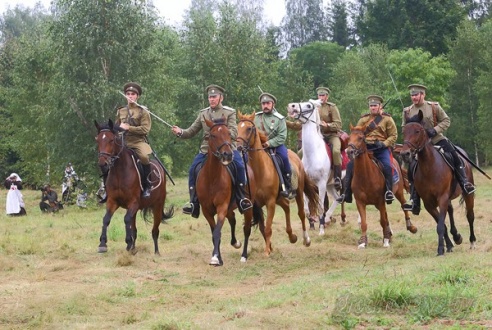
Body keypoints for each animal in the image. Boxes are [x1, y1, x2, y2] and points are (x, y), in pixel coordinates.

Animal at [95, 120, 174, 254]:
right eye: (98, 140)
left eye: (111, 140)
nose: (102, 163)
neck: (120, 173)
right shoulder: (112, 201)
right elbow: (106, 219)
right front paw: (103, 243)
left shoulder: (134, 203)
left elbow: (126, 219)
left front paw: (128, 241)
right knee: (134, 229)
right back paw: (132, 248)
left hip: (157, 206)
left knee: (155, 230)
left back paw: (156, 252)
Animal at [195, 117, 260, 264]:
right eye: (213, 135)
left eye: (229, 133)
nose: (228, 155)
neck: (212, 178)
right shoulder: (206, 210)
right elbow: (214, 233)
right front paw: (218, 257)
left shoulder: (222, 207)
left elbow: (217, 231)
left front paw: (215, 258)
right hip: (230, 207)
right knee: (233, 220)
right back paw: (235, 243)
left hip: (247, 207)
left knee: (246, 229)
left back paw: (244, 255)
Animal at [237, 111, 320, 255]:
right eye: (237, 127)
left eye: (249, 128)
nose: (238, 147)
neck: (260, 171)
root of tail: (296, 156)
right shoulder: (255, 204)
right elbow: (262, 228)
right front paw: (269, 247)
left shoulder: (270, 202)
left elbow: (268, 228)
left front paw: (267, 251)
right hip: (280, 197)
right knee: (286, 206)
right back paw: (292, 236)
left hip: (298, 193)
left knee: (301, 214)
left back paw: (306, 239)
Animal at [286, 99, 348, 236]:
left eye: (309, 105)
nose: (291, 106)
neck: (313, 154)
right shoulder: (307, 183)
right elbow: (306, 207)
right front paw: (312, 220)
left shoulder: (321, 184)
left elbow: (320, 207)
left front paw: (321, 230)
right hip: (330, 185)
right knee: (338, 198)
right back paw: (328, 218)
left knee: (344, 198)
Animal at [400, 111, 476, 255]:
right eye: (404, 131)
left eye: (417, 131)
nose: (405, 154)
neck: (429, 167)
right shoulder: (429, 203)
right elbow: (442, 225)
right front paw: (448, 245)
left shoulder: (442, 198)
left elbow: (440, 225)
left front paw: (441, 249)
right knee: (450, 210)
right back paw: (456, 237)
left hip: (467, 194)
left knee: (470, 216)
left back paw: (472, 241)